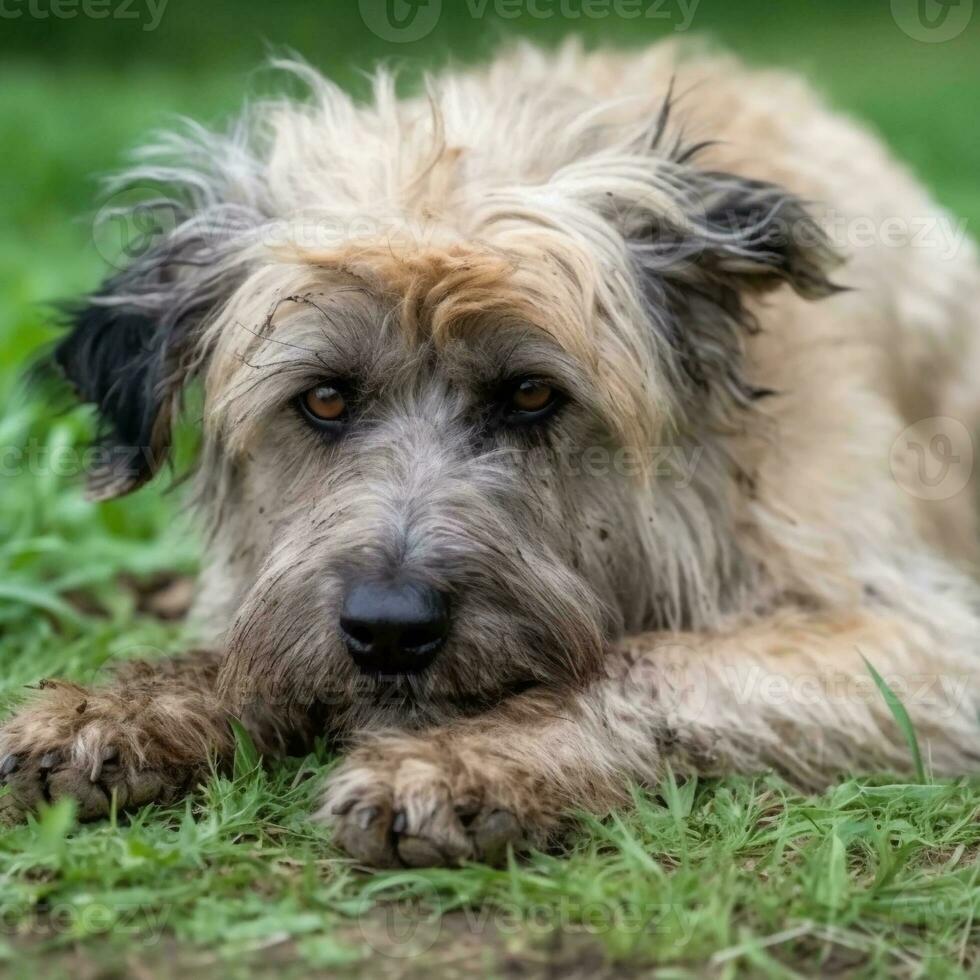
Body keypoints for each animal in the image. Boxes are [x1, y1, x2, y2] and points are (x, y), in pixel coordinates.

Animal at [1, 40, 980, 864]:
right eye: (323, 399)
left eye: (533, 394)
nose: (390, 631)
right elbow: (250, 645)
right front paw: (124, 706)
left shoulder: (917, 637)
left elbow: (654, 659)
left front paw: (467, 757)